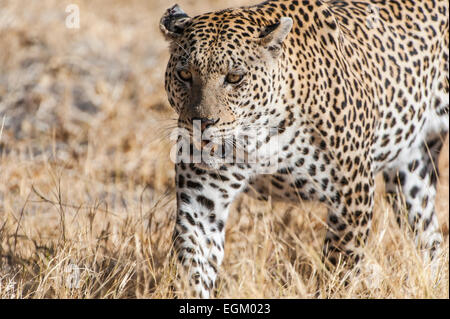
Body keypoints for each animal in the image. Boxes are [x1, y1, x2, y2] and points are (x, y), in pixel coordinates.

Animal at [160, 0, 448, 300]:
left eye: (235, 78)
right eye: (184, 74)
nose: (201, 122)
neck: (258, 139)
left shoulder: (352, 195)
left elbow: (339, 268)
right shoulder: (201, 204)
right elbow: (193, 268)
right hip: (411, 174)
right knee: (429, 238)